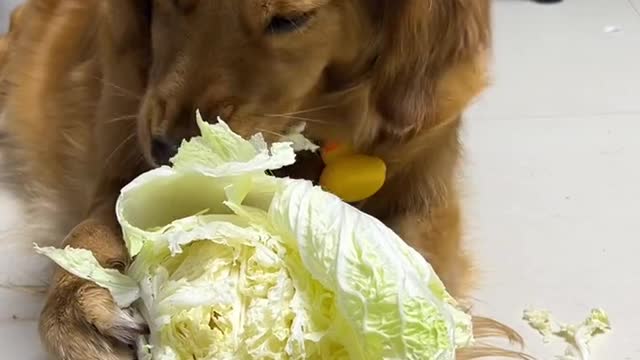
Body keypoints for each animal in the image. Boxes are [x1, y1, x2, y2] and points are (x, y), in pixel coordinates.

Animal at [0, 0, 524, 360]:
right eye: (173, 0)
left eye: (290, 20)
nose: (170, 149)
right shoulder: (125, 151)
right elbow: (93, 224)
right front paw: (79, 303)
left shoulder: (425, 184)